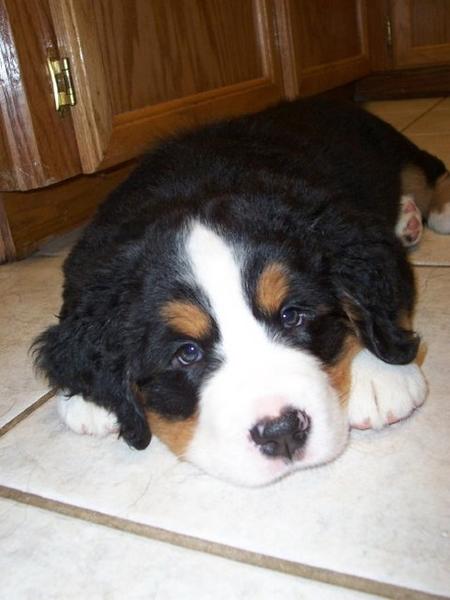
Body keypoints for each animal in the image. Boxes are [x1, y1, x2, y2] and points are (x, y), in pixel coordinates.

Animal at [32, 96, 450, 486]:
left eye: (292, 316)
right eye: (187, 353)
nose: (282, 432)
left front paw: (381, 374)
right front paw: (86, 401)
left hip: (389, 146)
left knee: (429, 170)